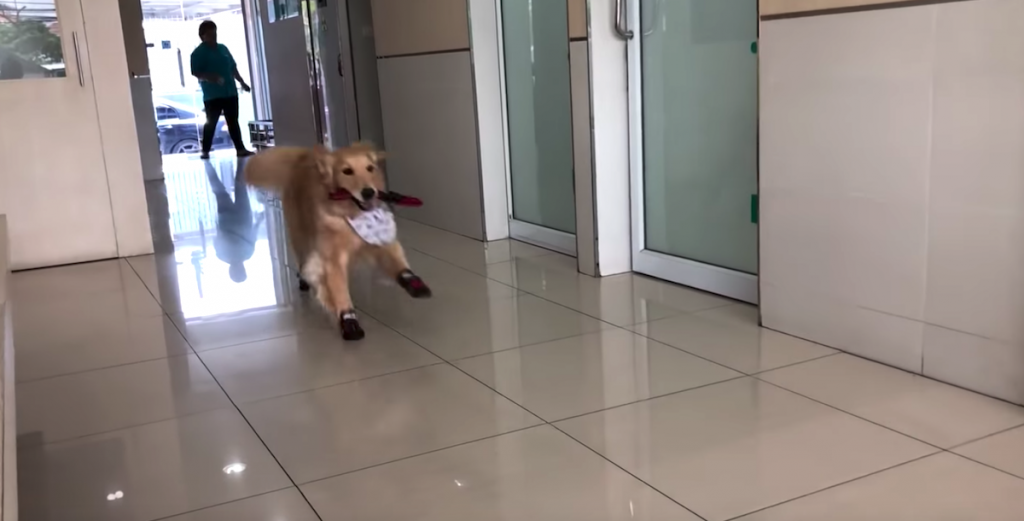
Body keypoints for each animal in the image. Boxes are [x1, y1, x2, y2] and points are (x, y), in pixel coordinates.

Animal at [246, 143, 432, 337]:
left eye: (370, 168)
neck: (351, 212)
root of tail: (302, 157)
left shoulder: (378, 239)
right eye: (347, 171)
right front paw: (348, 319)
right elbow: (339, 290)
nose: (368, 192)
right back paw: (304, 279)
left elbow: (397, 261)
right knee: (303, 259)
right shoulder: (332, 258)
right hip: (300, 234)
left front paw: (413, 282)